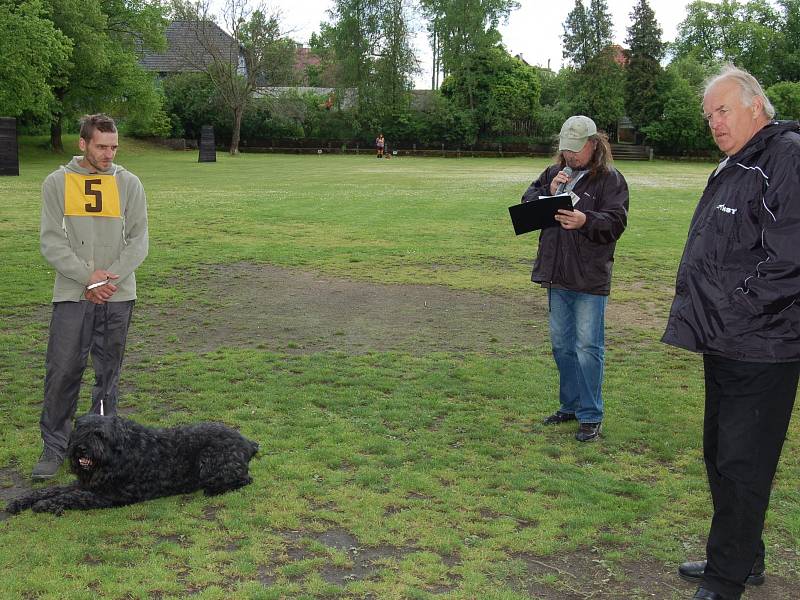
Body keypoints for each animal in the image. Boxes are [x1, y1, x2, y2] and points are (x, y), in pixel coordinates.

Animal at [7, 414, 258, 516]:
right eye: (80, 430)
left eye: (99, 434)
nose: (81, 449)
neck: (120, 452)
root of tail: (247, 442)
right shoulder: (87, 483)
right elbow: (51, 489)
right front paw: (21, 501)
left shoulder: (109, 496)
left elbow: (71, 497)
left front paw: (46, 505)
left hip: (211, 463)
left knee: (244, 479)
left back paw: (214, 490)